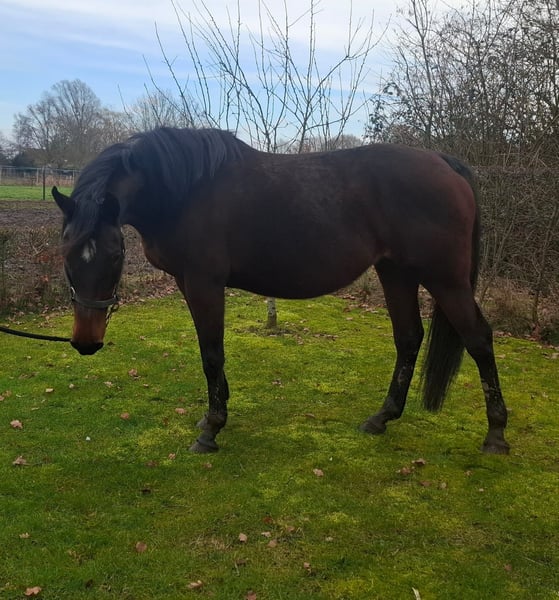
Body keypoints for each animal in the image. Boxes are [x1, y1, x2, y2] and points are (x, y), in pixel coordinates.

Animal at [52, 127, 510, 455]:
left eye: (115, 254)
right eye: (67, 252)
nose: (86, 342)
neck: (184, 190)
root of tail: (444, 163)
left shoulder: (203, 282)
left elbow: (212, 354)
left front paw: (211, 430)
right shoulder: (187, 281)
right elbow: (209, 353)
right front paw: (211, 418)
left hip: (444, 279)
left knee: (478, 339)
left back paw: (496, 435)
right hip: (395, 272)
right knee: (409, 337)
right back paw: (381, 418)